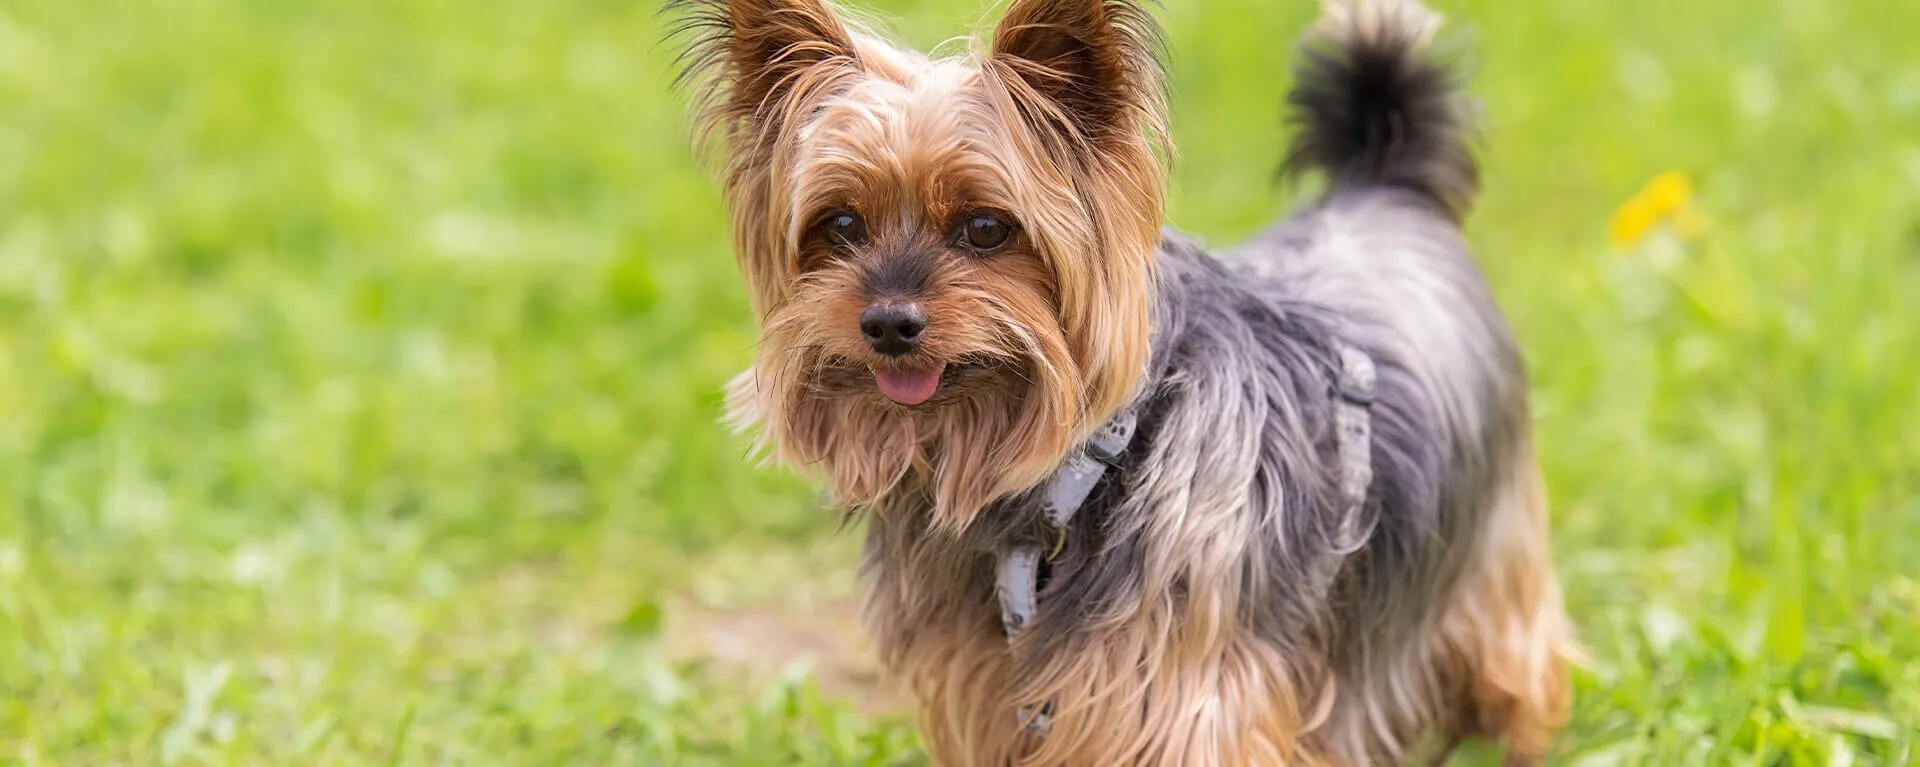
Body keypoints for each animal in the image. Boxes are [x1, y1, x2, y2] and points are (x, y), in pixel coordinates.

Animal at [675, 0, 1574, 761]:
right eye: (840, 224)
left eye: (987, 226)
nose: (890, 323)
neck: (1074, 473)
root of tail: (1380, 187)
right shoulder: (986, 685)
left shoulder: (1186, 694)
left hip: (1490, 564)